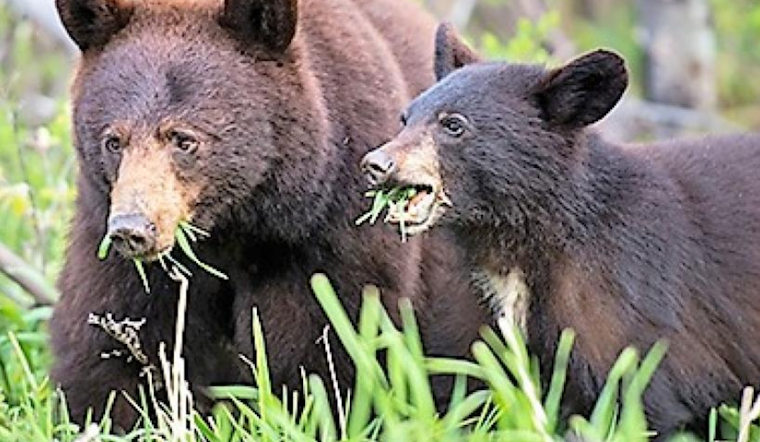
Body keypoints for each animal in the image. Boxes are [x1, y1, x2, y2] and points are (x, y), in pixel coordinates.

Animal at [50, 1, 490, 428]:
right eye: (113, 141)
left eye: (183, 139)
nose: (132, 229)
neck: (231, 226)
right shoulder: (110, 239)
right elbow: (112, 345)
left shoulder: (325, 230)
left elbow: (320, 350)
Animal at [360, 23, 760, 439]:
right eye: (404, 118)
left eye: (453, 124)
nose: (376, 164)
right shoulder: (477, 310)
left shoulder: (632, 314)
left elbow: (642, 403)